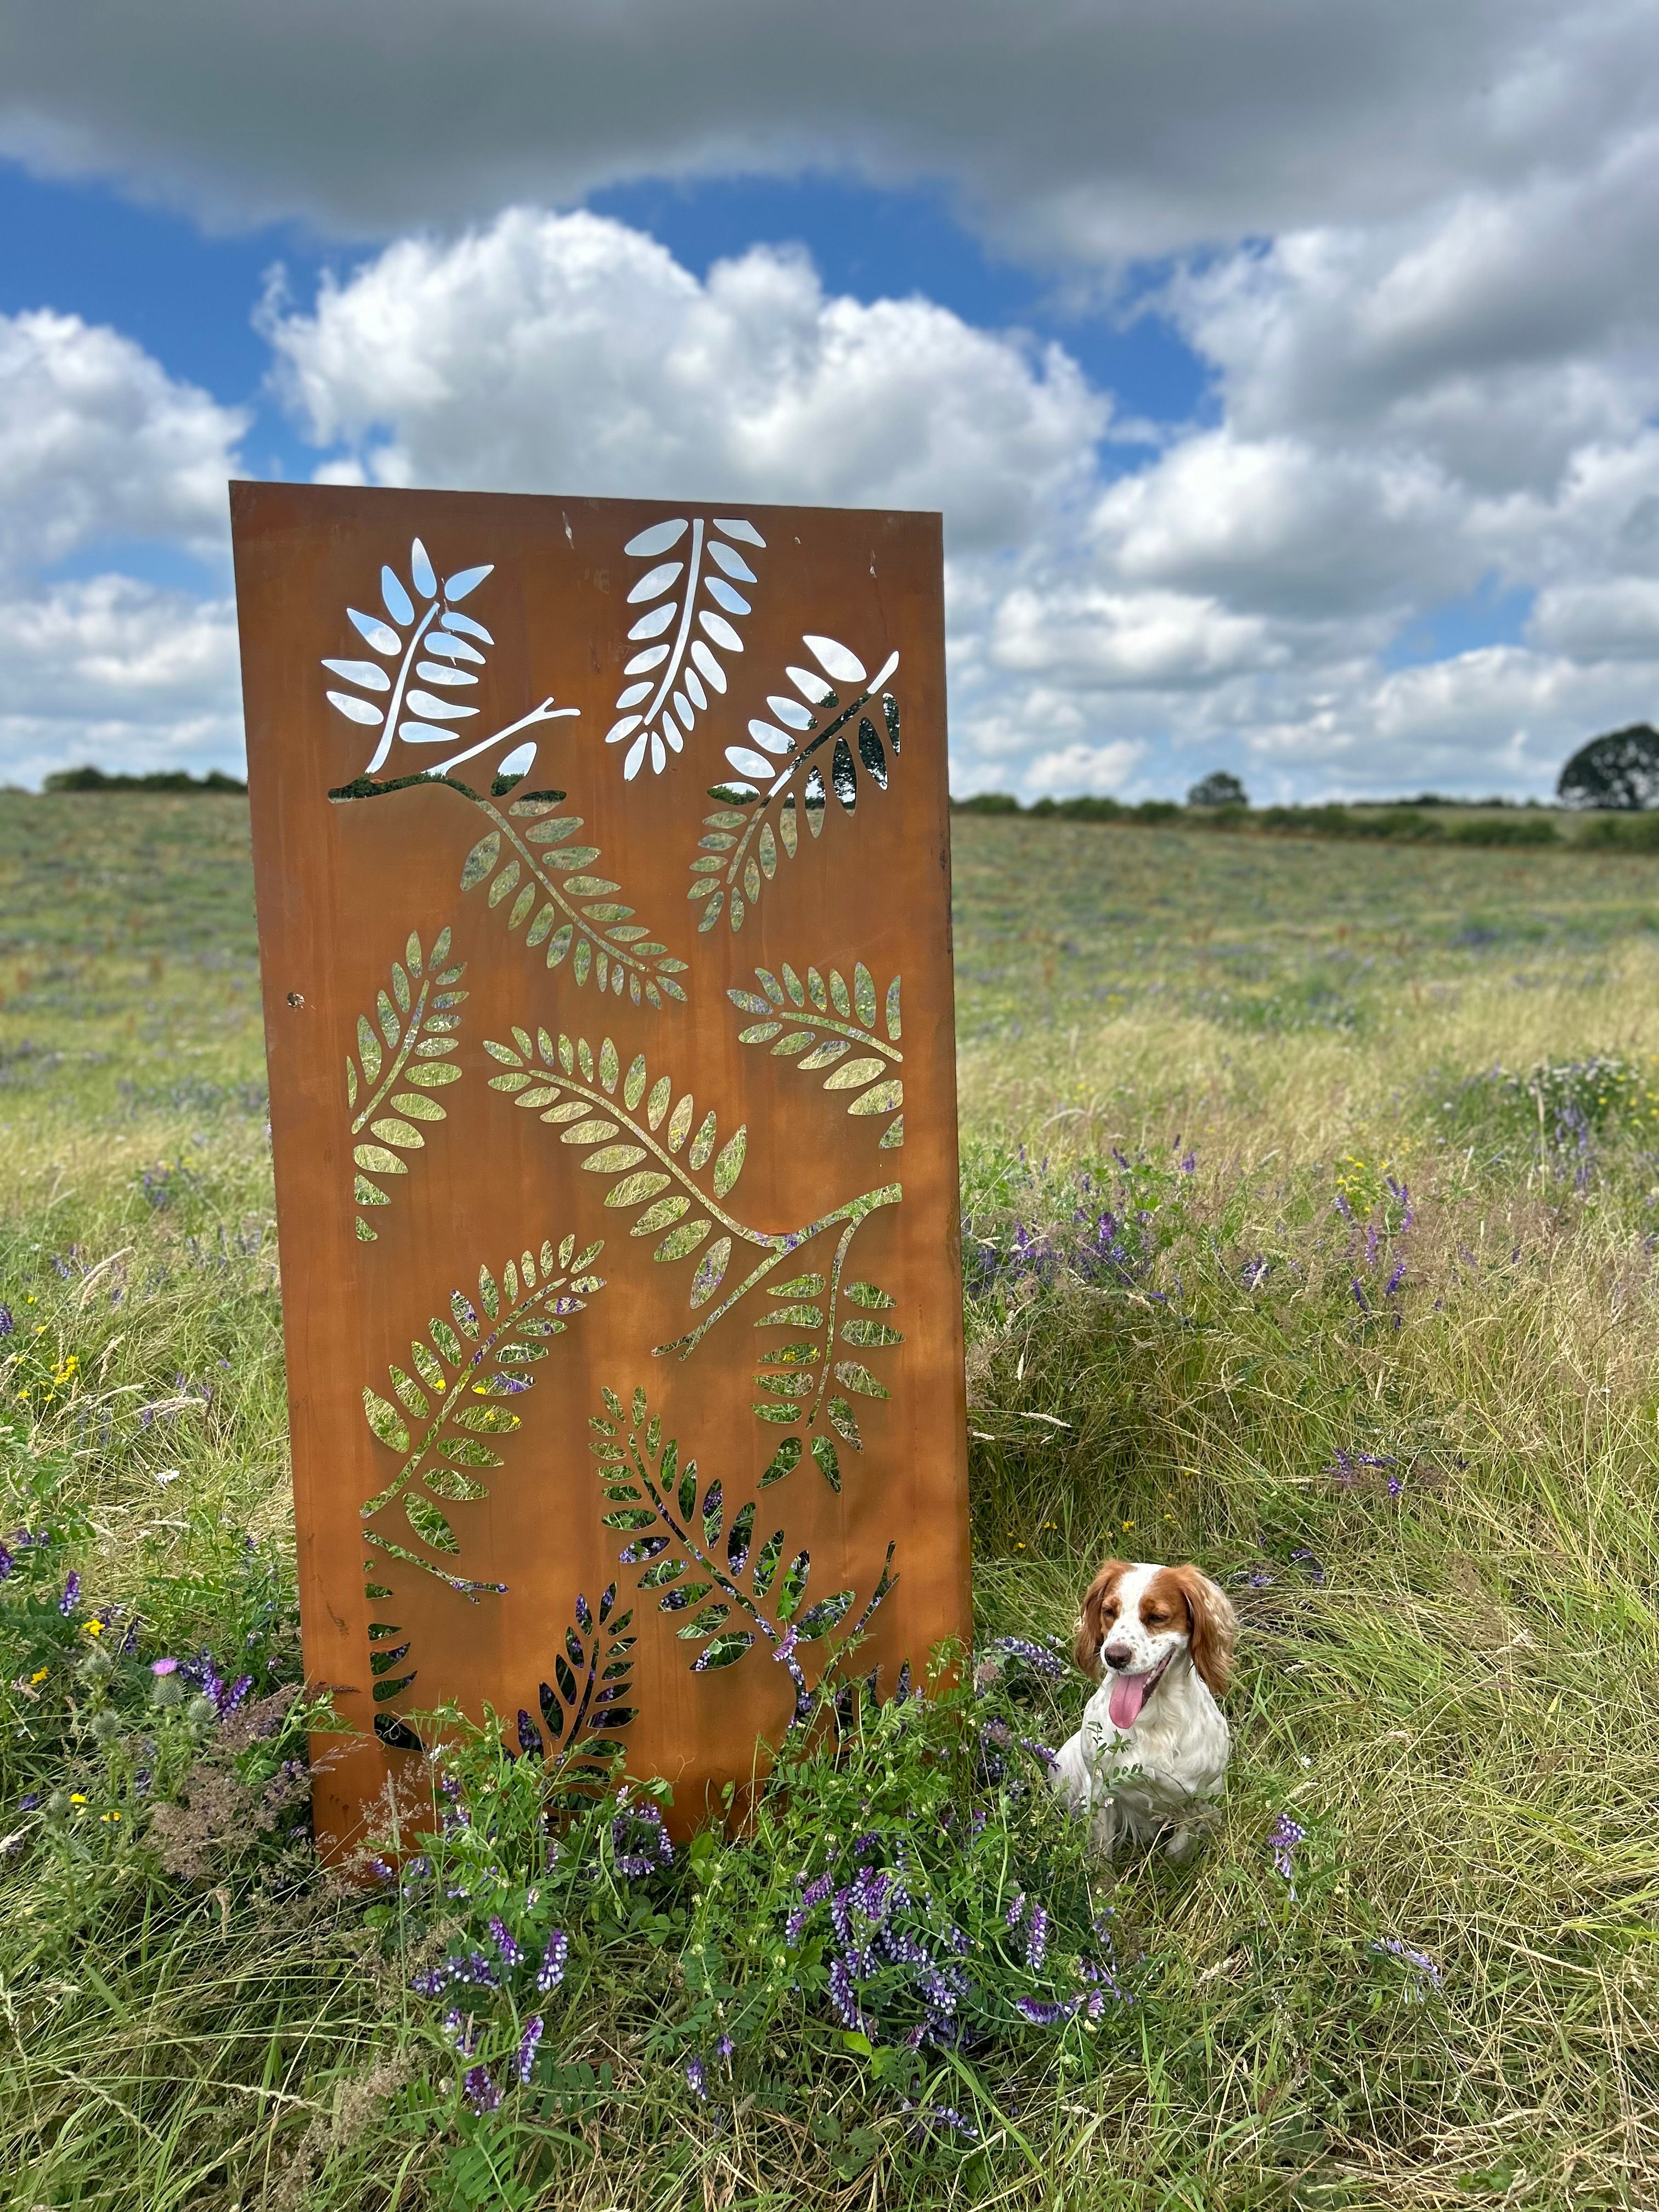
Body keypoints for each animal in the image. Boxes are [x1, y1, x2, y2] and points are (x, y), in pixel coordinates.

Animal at [1053, 1566, 1238, 1858]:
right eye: (1109, 1611)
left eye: (1157, 1617)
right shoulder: (1100, 1793)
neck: (1155, 1721)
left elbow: (1179, 1851)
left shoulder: (1201, 1797)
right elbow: (1101, 1857)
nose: (1114, 1656)